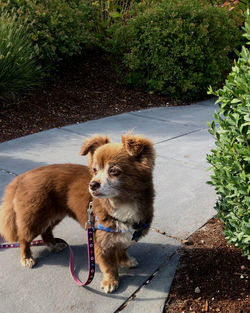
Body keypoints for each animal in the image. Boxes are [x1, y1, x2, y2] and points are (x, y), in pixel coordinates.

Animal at [0, 132, 154, 292]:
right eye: (95, 170)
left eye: (113, 171)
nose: (92, 184)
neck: (121, 203)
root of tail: (23, 176)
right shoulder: (99, 242)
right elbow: (109, 266)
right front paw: (111, 281)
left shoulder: (125, 235)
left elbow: (122, 248)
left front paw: (125, 261)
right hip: (35, 217)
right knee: (24, 238)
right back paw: (26, 258)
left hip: (53, 215)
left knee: (46, 231)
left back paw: (53, 245)